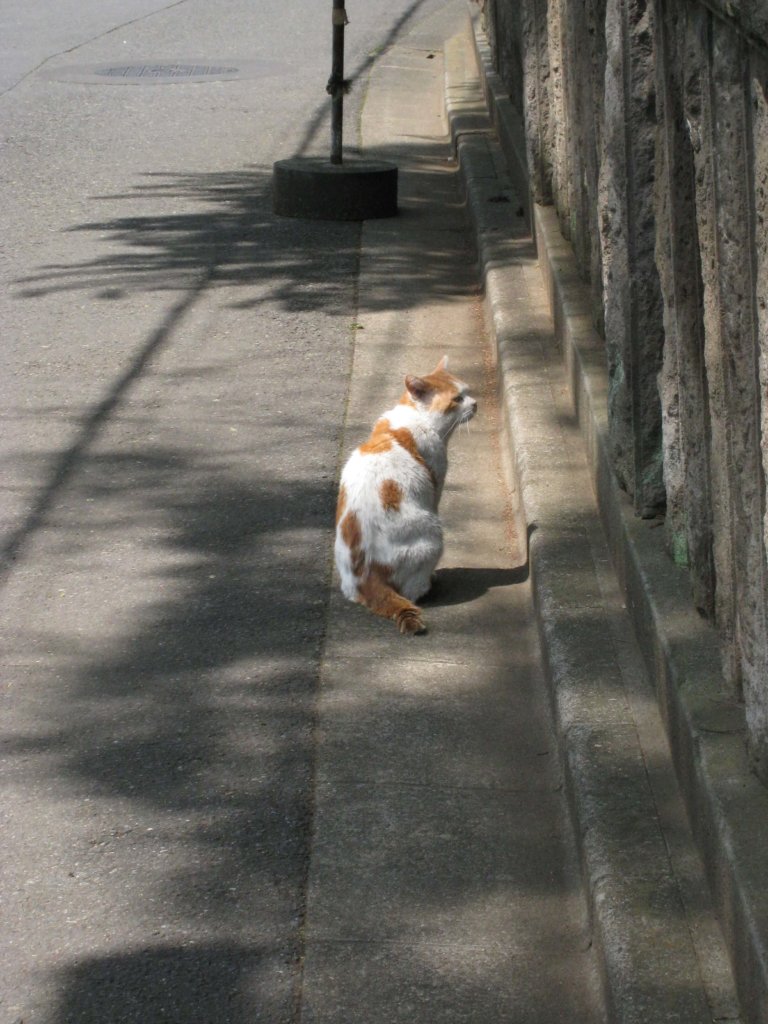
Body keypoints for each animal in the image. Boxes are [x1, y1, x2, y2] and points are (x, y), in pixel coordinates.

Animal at [335, 358, 479, 630]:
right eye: (457, 398)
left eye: (468, 391)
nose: (476, 403)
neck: (415, 417)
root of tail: (367, 577)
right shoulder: (436, 483)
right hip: (432, 535)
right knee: (411, 592)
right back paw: (431, 584)